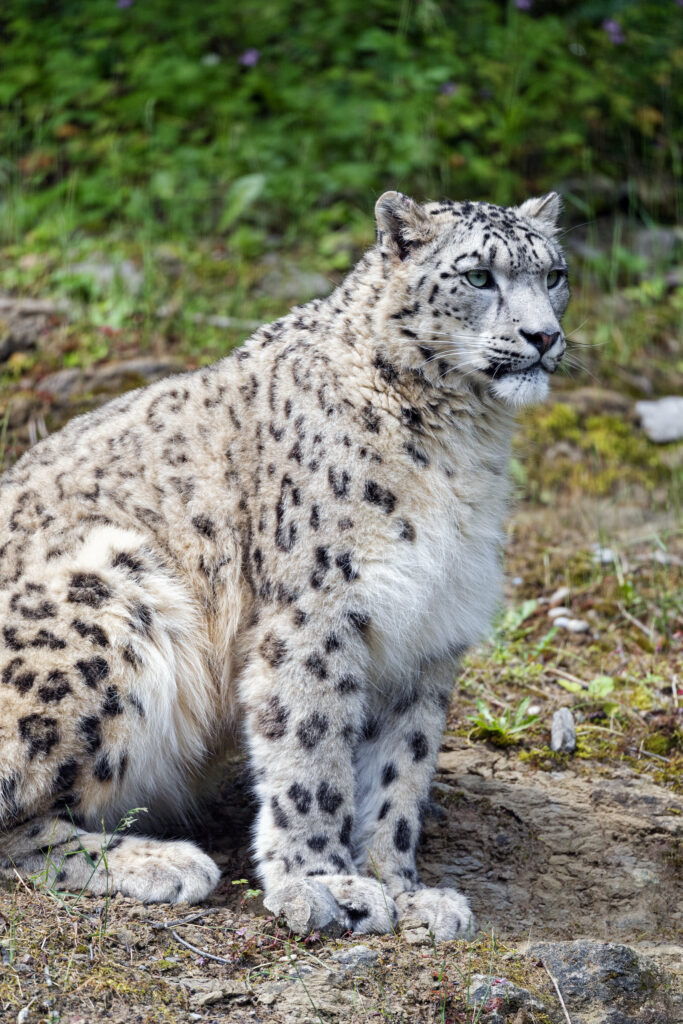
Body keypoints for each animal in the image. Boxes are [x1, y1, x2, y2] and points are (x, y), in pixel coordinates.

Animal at [0, 190, 568, 940]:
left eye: (554, 275)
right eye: (478, 276)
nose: (544, 337)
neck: (462, 447)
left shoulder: (426, 633)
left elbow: (400, 773)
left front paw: (403, 888)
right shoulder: (319, 612)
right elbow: (311, 751)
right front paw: (327, 885)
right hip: (109, 597)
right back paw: (162, 861)